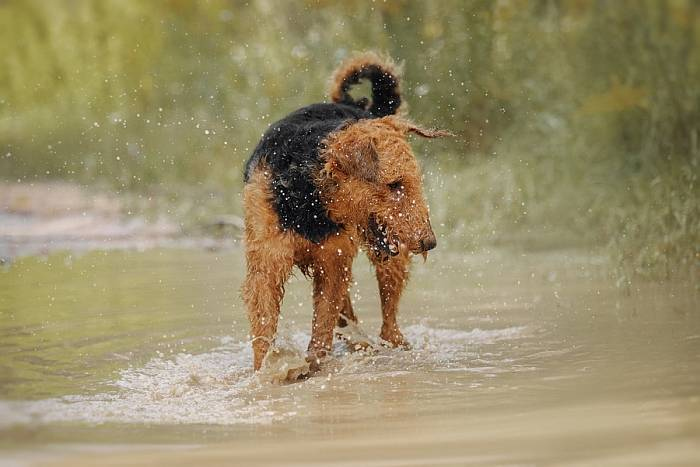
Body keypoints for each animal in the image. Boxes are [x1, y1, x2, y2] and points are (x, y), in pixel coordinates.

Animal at [241, 51, 448, 372]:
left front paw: (314, 363)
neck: (309, 196)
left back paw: (389, 345)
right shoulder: (267, 261)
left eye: (415, 180)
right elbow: (265, 324)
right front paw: (268, 371)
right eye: (394, 184)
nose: (429, 242)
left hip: (388, 260)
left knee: (387, 319)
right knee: (348, 313)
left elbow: (324, 320)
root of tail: (357, 107)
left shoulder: (332, 262)